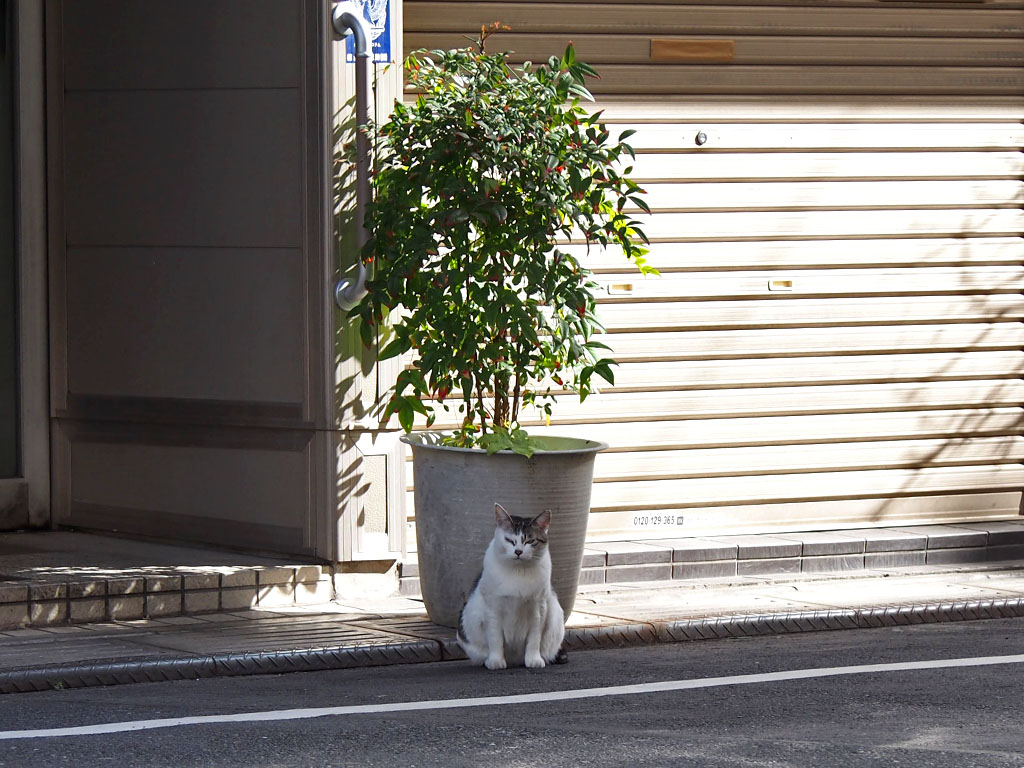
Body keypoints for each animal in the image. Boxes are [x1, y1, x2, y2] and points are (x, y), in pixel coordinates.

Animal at [456, 505, 569, 667]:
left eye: (530, 541)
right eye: (509, 540)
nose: (518, 551)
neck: (518, 571)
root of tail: (515, 661)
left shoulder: (538, 609)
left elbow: (534, 639)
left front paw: (534, 660)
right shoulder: (493, 608)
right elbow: (495, 638)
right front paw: (496, 661)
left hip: (555, 616)